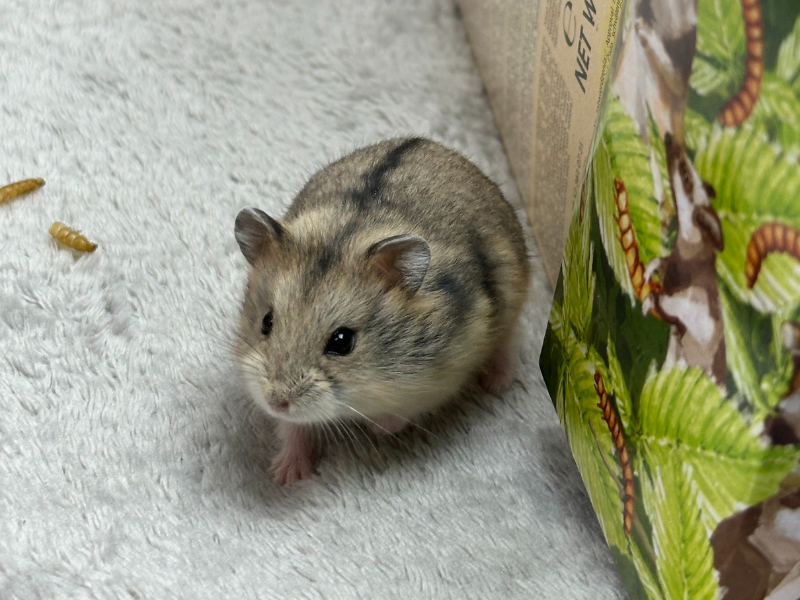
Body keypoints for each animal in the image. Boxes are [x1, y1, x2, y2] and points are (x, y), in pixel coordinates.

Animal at [233, 138, 530, 484]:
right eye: (266, 322)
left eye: (342, 341)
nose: (276, 402)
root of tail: (435, 144)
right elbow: (293, 428)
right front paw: (285, 476)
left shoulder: (444, 375)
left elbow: (403, 411)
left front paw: (378, 428)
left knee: (510, 339)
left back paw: (497, 383)